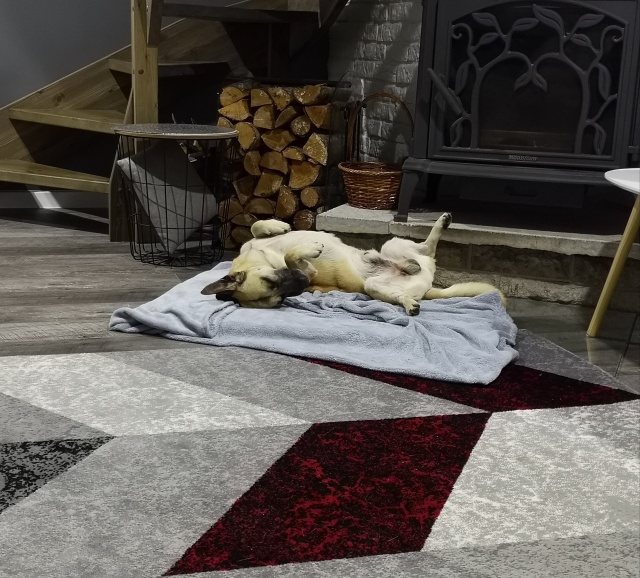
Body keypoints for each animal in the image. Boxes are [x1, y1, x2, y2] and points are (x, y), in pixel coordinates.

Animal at [201, 213, 503, 315]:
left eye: (270, 280)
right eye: (278, 300)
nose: (304, 283)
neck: (257, 257)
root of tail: (428, 286)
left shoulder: (257, 244)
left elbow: (255, 226)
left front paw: (277, 226)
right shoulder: (305, 268)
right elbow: (292, 257)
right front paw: (310, 249)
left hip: (393, 244)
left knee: (425, 248)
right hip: (375, 285)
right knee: (413, 273)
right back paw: (409, 301)